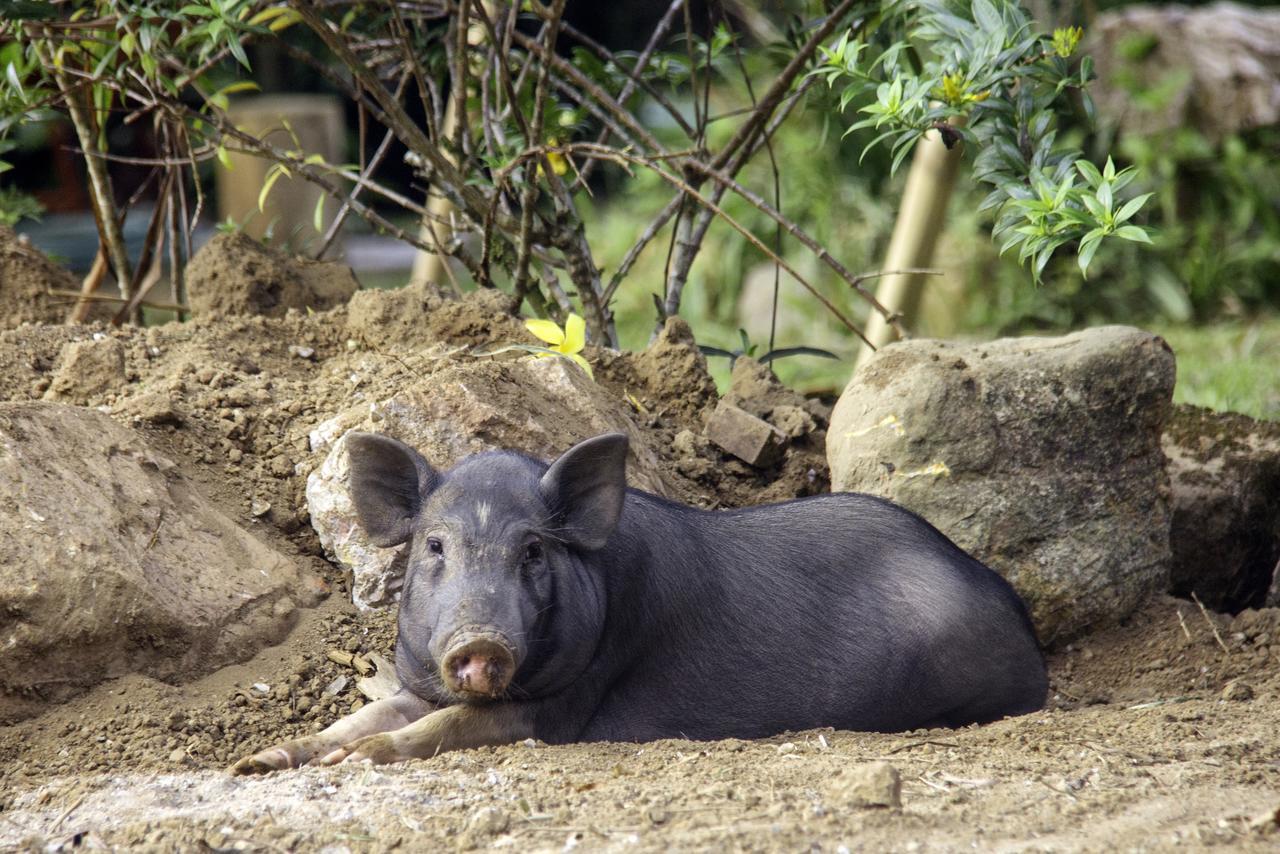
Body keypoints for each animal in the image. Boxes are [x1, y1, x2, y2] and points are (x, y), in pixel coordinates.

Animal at [235, 430, 1044, 773]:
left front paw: (359, 761)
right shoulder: (419, 681)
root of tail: (1017, 612)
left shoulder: (567, 703)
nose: (480, 642)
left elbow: (441, 729)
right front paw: (258, 761)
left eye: (534, 551)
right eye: (435, 546)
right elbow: (362, 716)